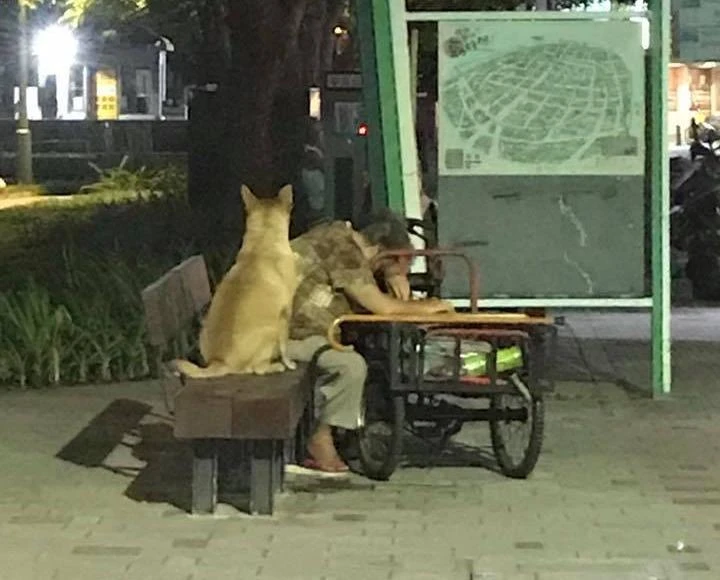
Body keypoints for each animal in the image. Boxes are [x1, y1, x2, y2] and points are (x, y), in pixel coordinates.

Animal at [173, 184, 296, 378]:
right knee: (256, 368)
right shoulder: (286, 312)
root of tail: (218, 361)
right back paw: (275, 366)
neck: (262, 241)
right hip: (271, 329)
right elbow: (285, 345)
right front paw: (289, 363)